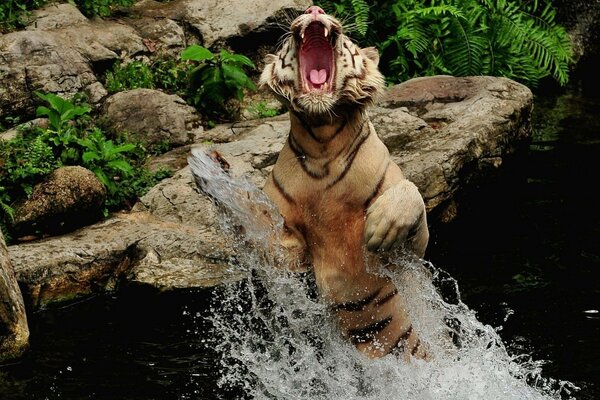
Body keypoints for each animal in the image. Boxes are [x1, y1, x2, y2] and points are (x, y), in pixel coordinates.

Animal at [190, 3, 428, 360]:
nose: (314, 8)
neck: (323, 141)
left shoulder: (411, 254)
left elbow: (412, 195)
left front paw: (381, 227)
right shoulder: (287, 252)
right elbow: (255, 221)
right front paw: (213, 170)